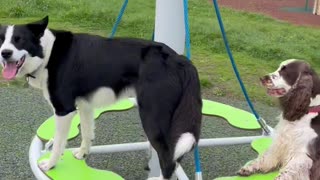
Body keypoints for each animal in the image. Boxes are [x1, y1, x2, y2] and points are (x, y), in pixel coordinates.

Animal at [0, 16, 201, 179]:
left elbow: (58, 143)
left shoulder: (64, 110)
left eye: (19, 40)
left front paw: (50, 165)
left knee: (169, 159)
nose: (5, 53)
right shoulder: (85, 106)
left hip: (152, 119)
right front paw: (82, 155)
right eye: (1, 40)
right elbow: (87, 133)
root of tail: (179, 59)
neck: (48, 53)